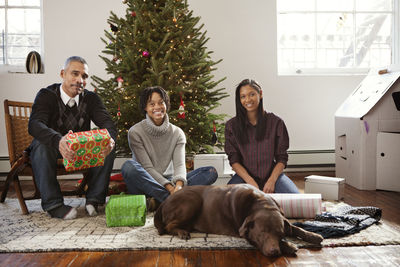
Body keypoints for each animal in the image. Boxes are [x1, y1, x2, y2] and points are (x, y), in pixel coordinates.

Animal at [155, 184, 324, 258]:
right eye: (262, 233)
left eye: (280, 233)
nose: (274, 252)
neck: (260, 202)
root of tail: (165, 200)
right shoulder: (246, 234)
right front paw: (289, 245)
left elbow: (295, 228)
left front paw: (314, 236)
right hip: (192, 201)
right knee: (168, 225)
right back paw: (182, 232)